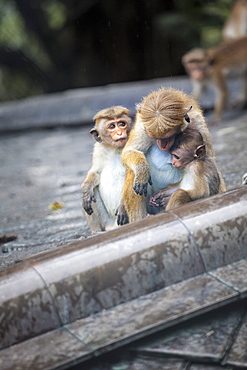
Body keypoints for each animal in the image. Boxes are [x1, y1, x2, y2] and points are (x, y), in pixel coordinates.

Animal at [81, 105, 133, 233]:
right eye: (112, 126)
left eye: (122, 123)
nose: (119, 132)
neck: (115, 149)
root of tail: (113, 226)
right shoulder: (98, 149)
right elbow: (95, 173)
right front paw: (86, 190)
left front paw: (123, 207)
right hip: (105, 221)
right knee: (93, 191)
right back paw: (96, 232)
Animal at [116, 87, 226, 225]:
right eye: (155, 137)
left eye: (169, 136)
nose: (162, 145)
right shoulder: (142, 125)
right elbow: (130, 151)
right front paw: (141, 171)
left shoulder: (197, 121)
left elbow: (209, 161)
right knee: (133, 170)